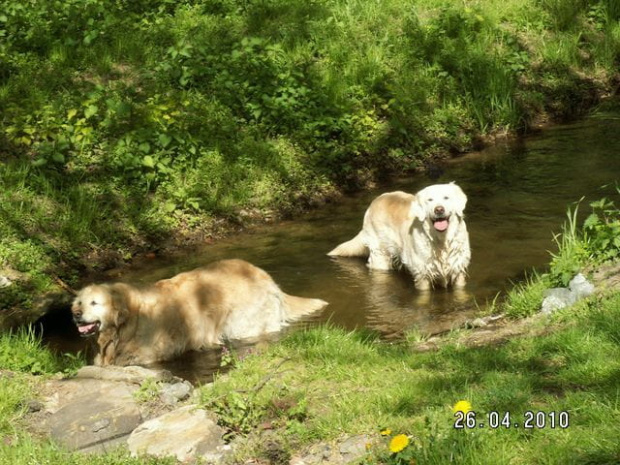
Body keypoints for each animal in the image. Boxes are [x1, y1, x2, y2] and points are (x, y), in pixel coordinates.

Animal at [330, 182, 470, 288]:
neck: (441, 241)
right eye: (430, 200)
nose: (439, 209)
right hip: (380, 256)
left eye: (446, 198)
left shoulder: (458, 269)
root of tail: (374, 202)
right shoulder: (422, 273)